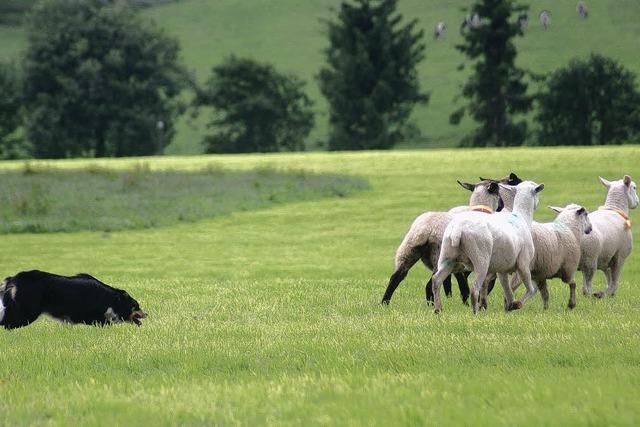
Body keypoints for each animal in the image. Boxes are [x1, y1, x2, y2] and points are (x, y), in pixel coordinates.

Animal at [0, 270, 146, 332]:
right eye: (136, 306)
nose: (147, 314)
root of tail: (13, 279)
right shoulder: (94, 316)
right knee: (8, 324)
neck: (112, 299)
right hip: (27, 311)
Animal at [432, 181, 544, 314]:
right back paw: (475, 313)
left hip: (447, 258)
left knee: (436, 280)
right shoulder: (524, 264)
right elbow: (532, 290)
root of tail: (458, 230)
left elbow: (508, 291)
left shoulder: (502, 269)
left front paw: (510, 307)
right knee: (474, 289)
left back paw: (438, 310)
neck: (521, 217)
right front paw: (517, 305)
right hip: (481, 260)